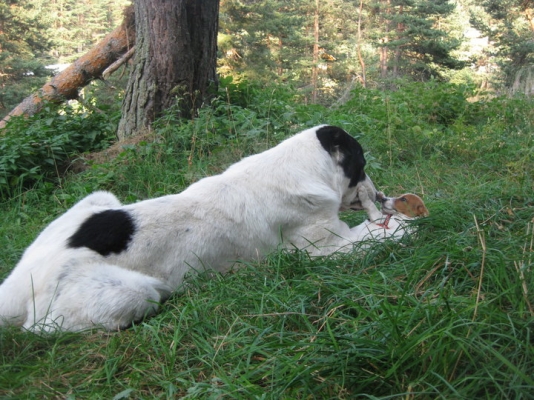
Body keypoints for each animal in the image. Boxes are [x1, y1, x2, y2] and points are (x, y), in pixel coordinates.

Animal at [0, 125, 390, 332]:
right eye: (362, 164)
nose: (382, 195)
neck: (303, 169)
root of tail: (21, 279)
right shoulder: (325, 250)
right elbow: (374, 237)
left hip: (97, 199)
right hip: (133, 293)